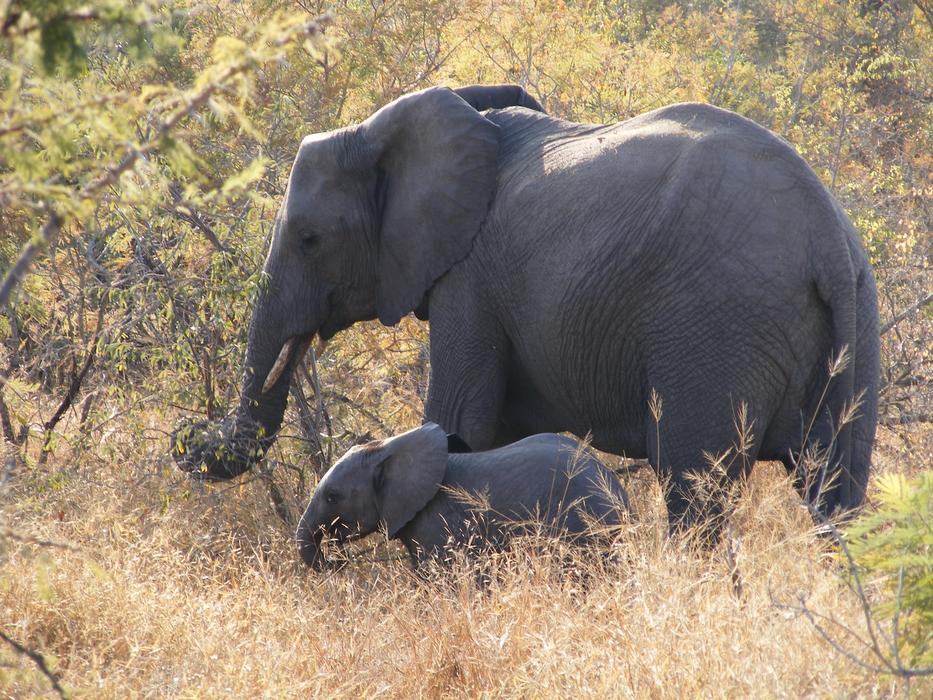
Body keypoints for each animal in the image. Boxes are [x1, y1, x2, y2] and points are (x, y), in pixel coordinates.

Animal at [172, 83, 880, 528]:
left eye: (310, 239)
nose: (188, 437)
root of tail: (824, 232)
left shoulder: (470, 281)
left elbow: (458, 423)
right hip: (856, 319)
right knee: (838, 497)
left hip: (714, 328)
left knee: (695, 494)